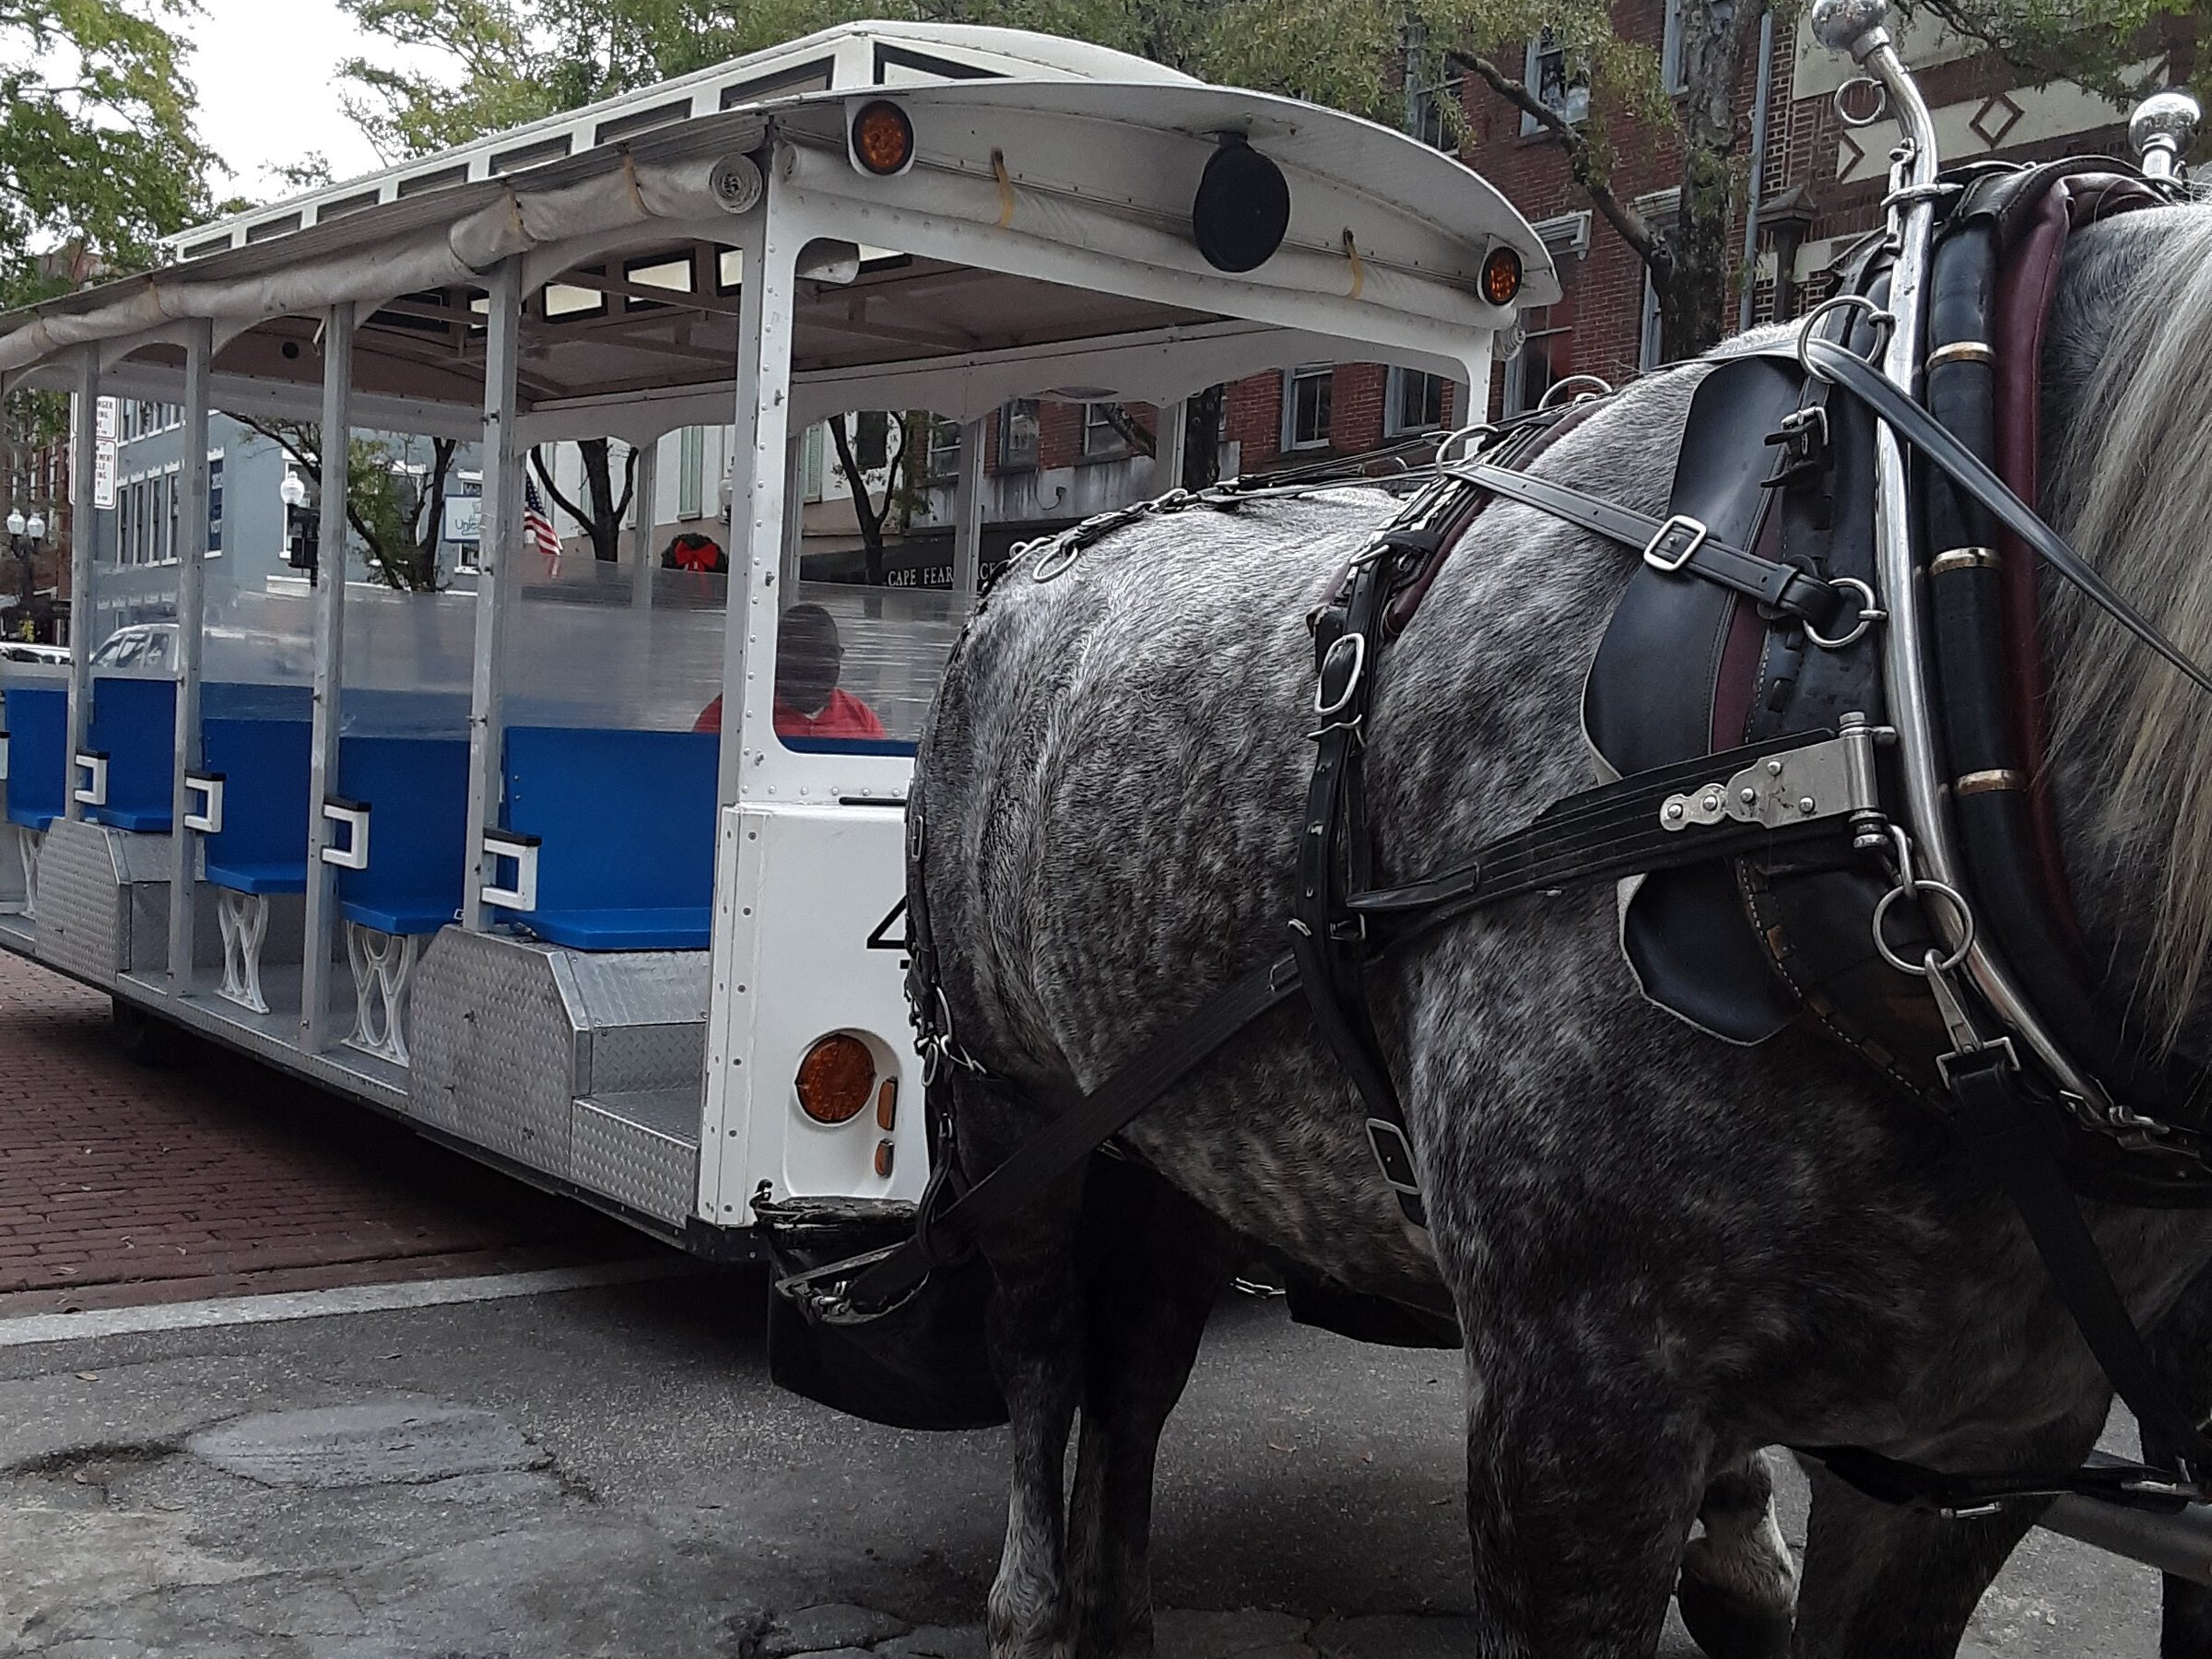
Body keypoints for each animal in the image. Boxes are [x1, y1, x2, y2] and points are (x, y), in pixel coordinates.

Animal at [907, 201, 2212, 1654]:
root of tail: (1029, 568)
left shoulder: (1971, 1451)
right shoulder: (1576, 1418)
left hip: (1187, 1129)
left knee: (1136, 1364)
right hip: (1011, 1096)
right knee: (1038, 1352)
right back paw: (1032, 1604)